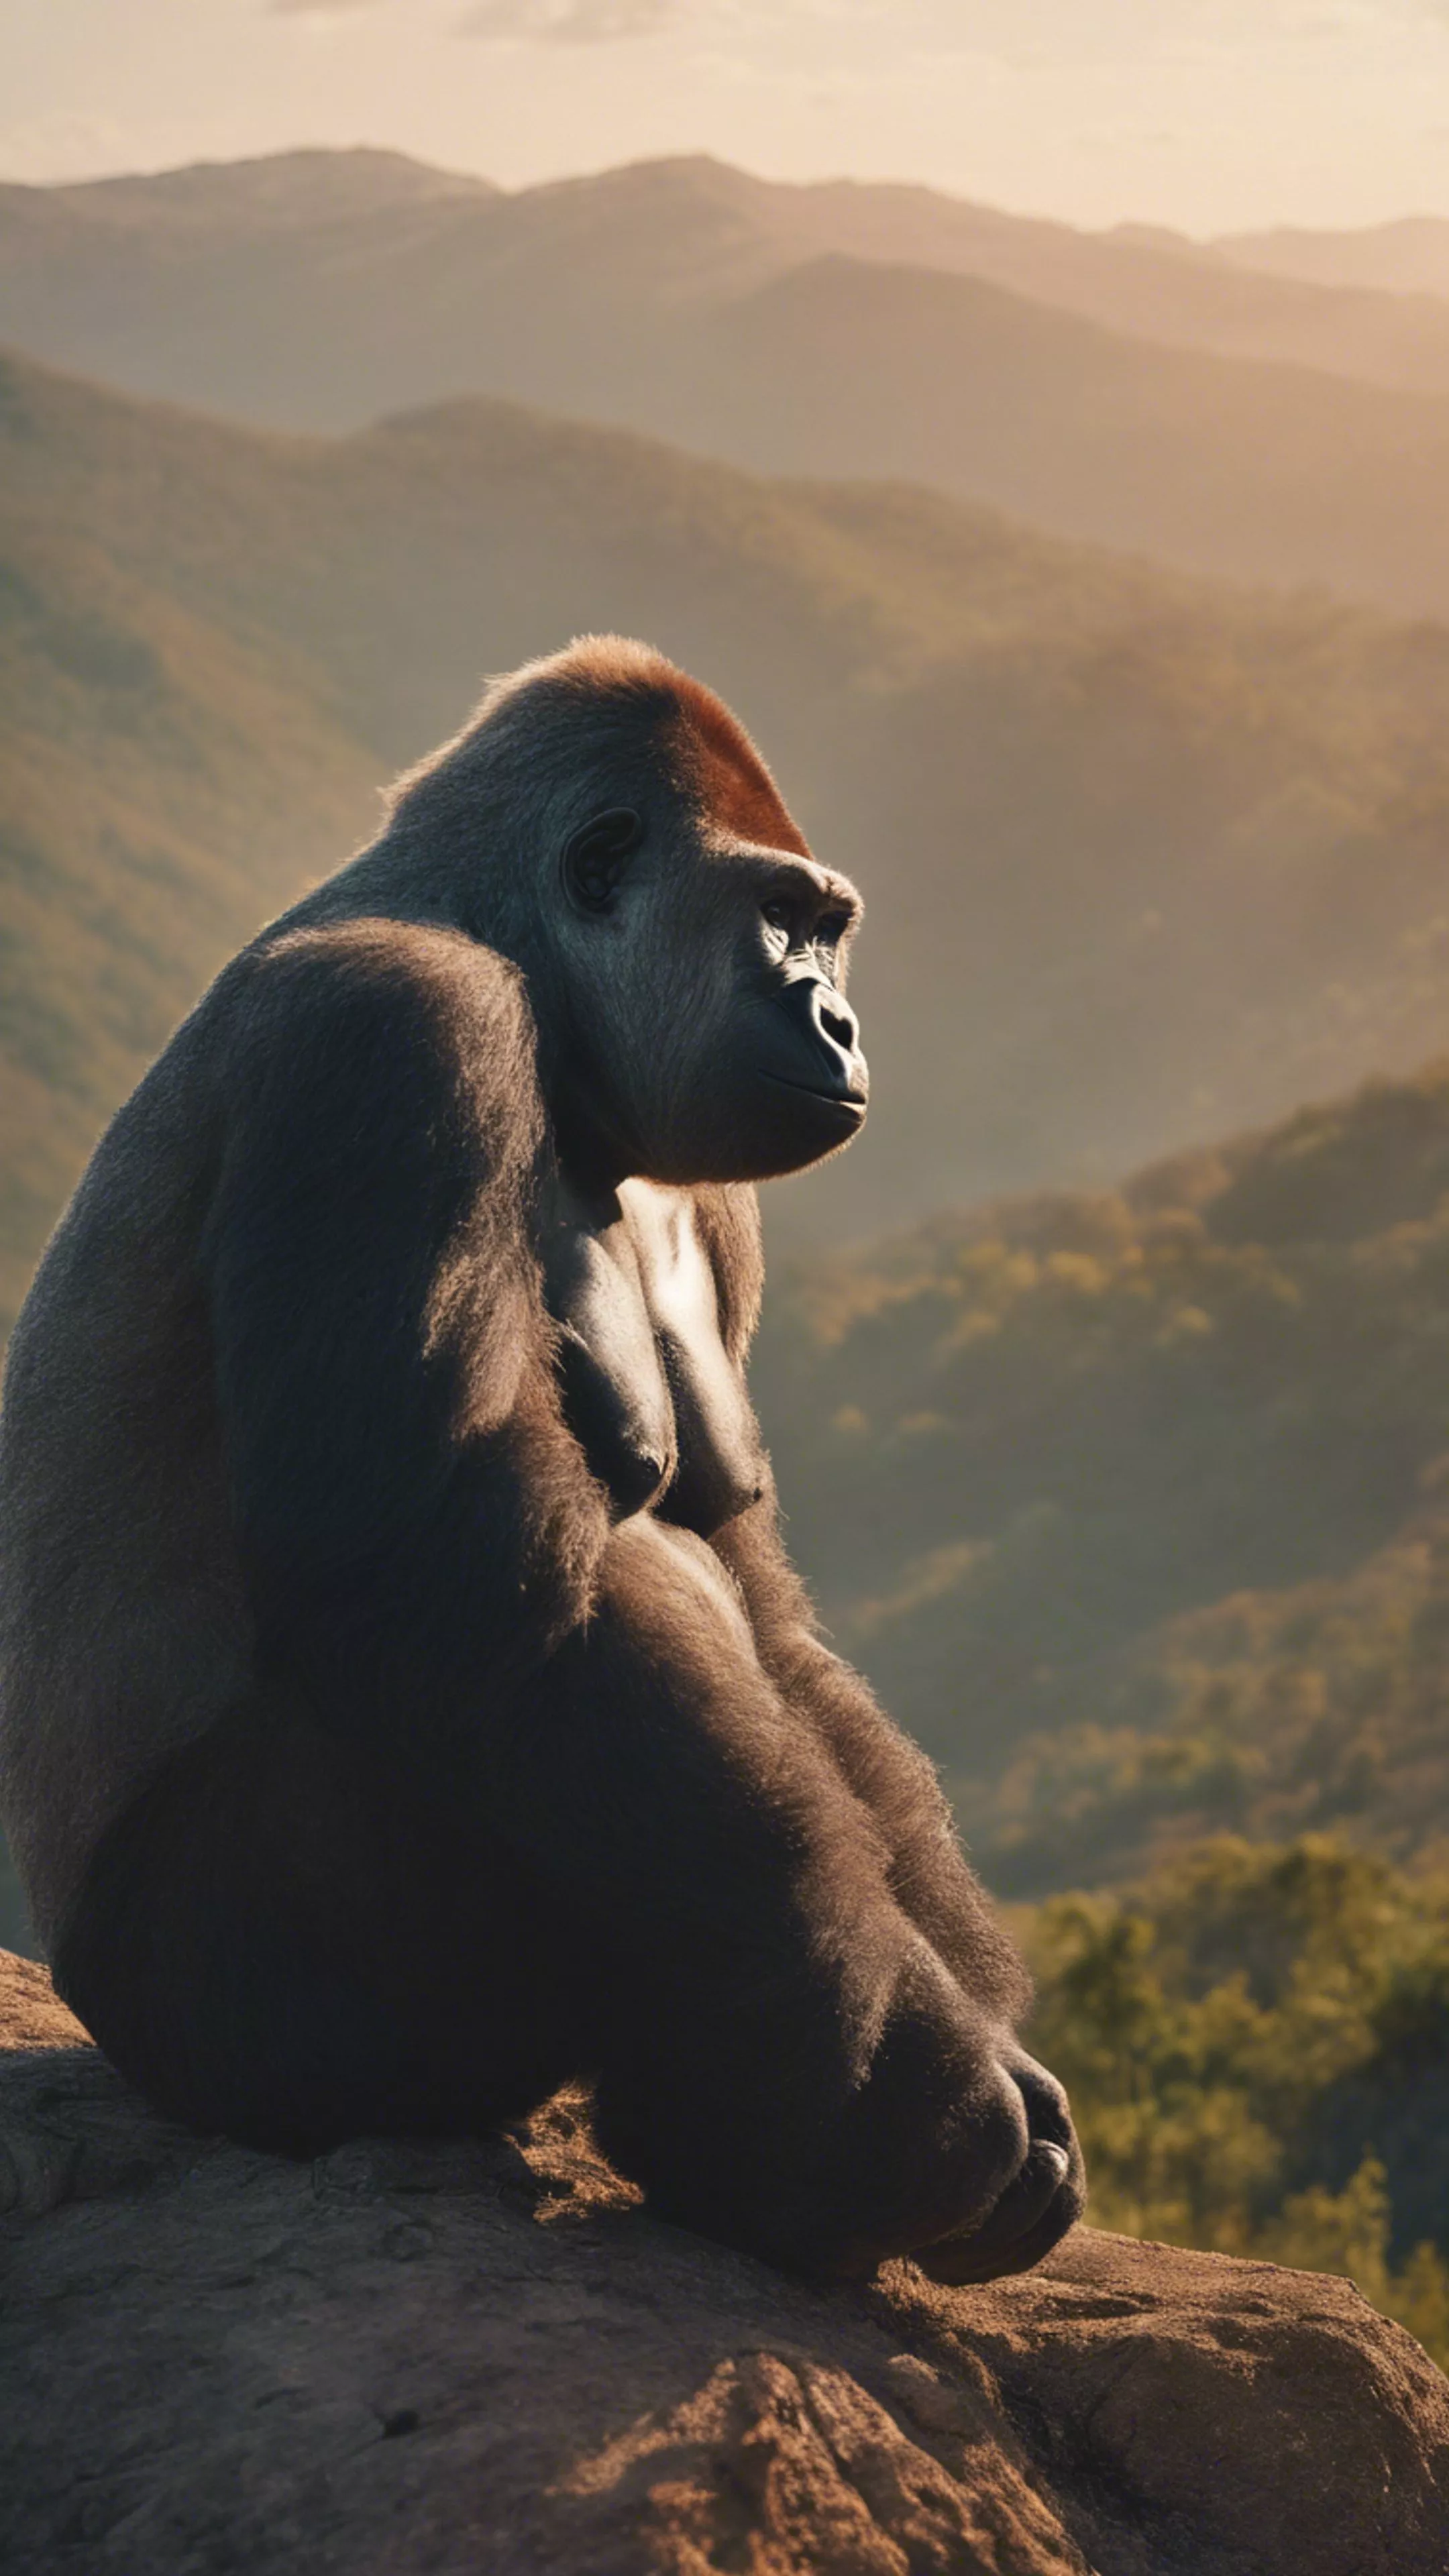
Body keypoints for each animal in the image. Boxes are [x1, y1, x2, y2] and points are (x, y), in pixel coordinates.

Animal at [0, 637, 1083, 2284]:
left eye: (831, 934)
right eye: (785, 921)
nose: (839, 1024)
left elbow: (769, 1610)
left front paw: (983, 2057)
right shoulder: (402, 1032)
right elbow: (460, 1604)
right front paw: (925, 2117)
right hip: (219, 2009)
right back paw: (779, 2152)